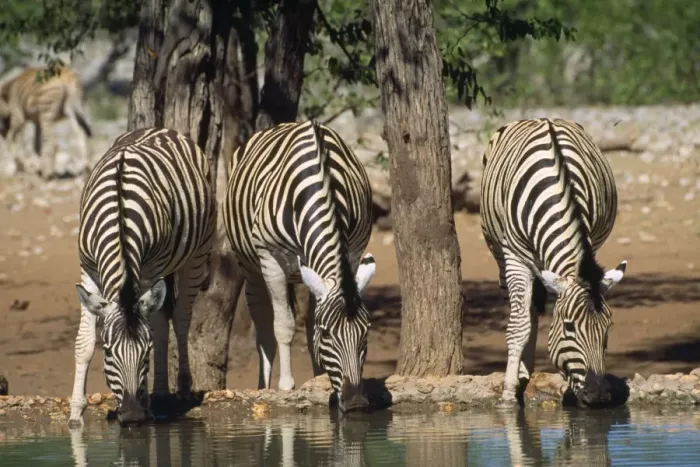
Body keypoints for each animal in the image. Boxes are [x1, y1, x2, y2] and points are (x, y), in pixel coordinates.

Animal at [68, 127, 216, 427]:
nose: (133, 416)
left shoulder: (149, 270)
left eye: (145, 352)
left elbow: (156, 331)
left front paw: (148, 403)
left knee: (178, 318)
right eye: (108, 351)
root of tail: (162, 129)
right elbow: (84, 343)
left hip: (196, 254)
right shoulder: (87, 269)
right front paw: (76, 411)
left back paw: (173, 389)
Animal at [222, 120, 375, 413]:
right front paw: (286, 386)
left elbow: (310, 325)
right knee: (263, 329)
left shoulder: (352, 253)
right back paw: (264, 387)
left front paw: (320, 382)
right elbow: (283, 326)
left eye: (365, 334)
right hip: (251, 268)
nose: (357, 403)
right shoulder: (271, 259)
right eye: (327, 335)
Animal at [479, 117, 627, 407]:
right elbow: (519, 325)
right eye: (569, 328)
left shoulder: (589, 241)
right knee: (524, 310)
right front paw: (508, 396)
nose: (598, 396)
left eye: (608, 327)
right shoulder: (515, 256)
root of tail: (540, 118)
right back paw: (520, 373)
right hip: (499, 251)